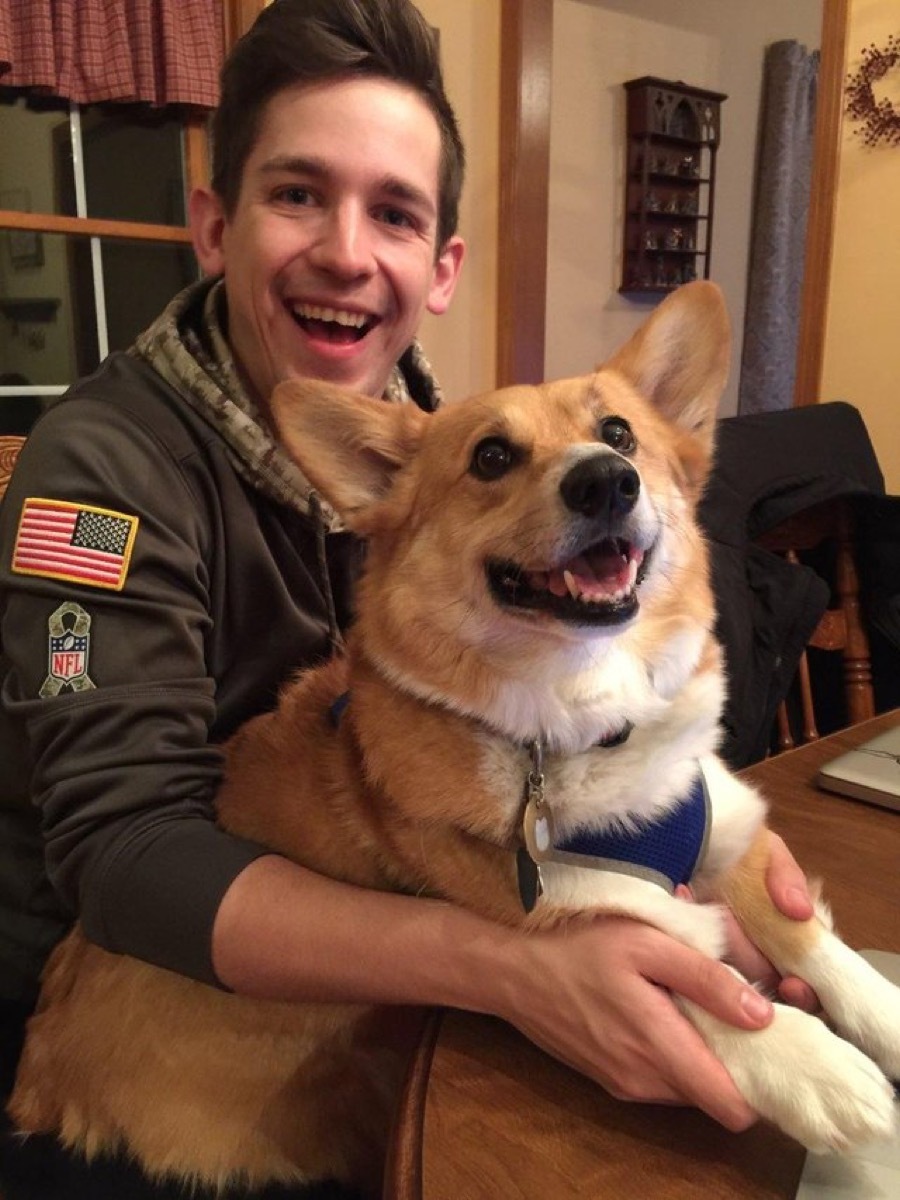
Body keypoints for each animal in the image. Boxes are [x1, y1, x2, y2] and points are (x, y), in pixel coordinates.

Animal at [8, 280, 900, 1190]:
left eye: (619, 433)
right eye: (492, 457)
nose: (606, 481)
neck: (580, 714)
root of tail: (38, 1081)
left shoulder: (724, 828)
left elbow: (812, 939)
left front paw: (880, 1013)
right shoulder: (579, 915)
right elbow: (696, 973)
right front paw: (810, 1063)